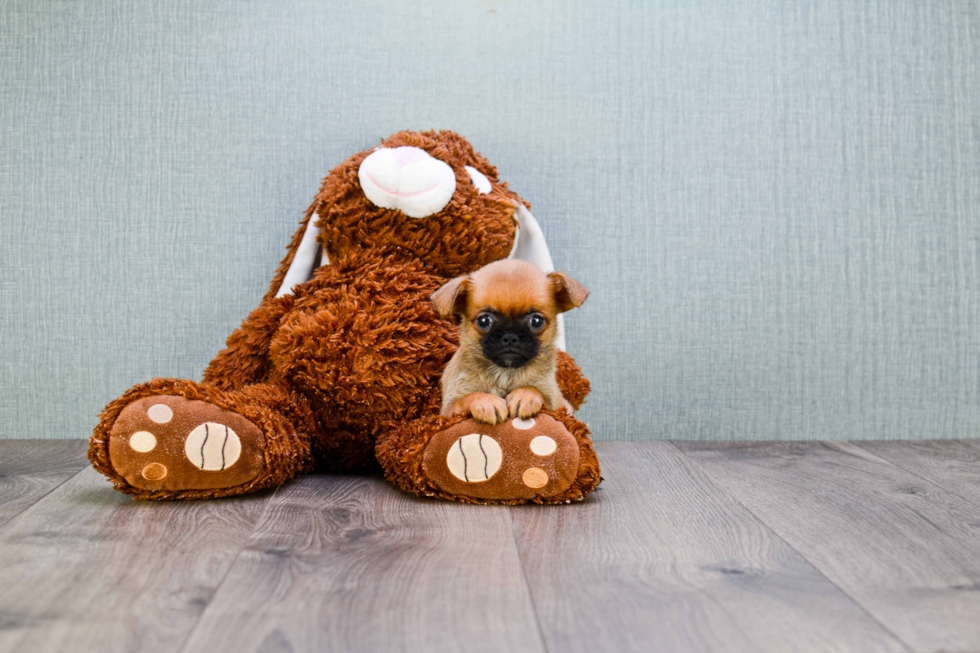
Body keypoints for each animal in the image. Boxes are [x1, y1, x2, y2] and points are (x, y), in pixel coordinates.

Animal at [434, 258, 588, 426]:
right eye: (484, 320)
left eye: (536, 321)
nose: (510, 336)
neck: (504, 373)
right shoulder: (447, 412)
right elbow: (470, 397)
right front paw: (486, 401)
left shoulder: (559, 405)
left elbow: (536, 390)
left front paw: (525, 396)